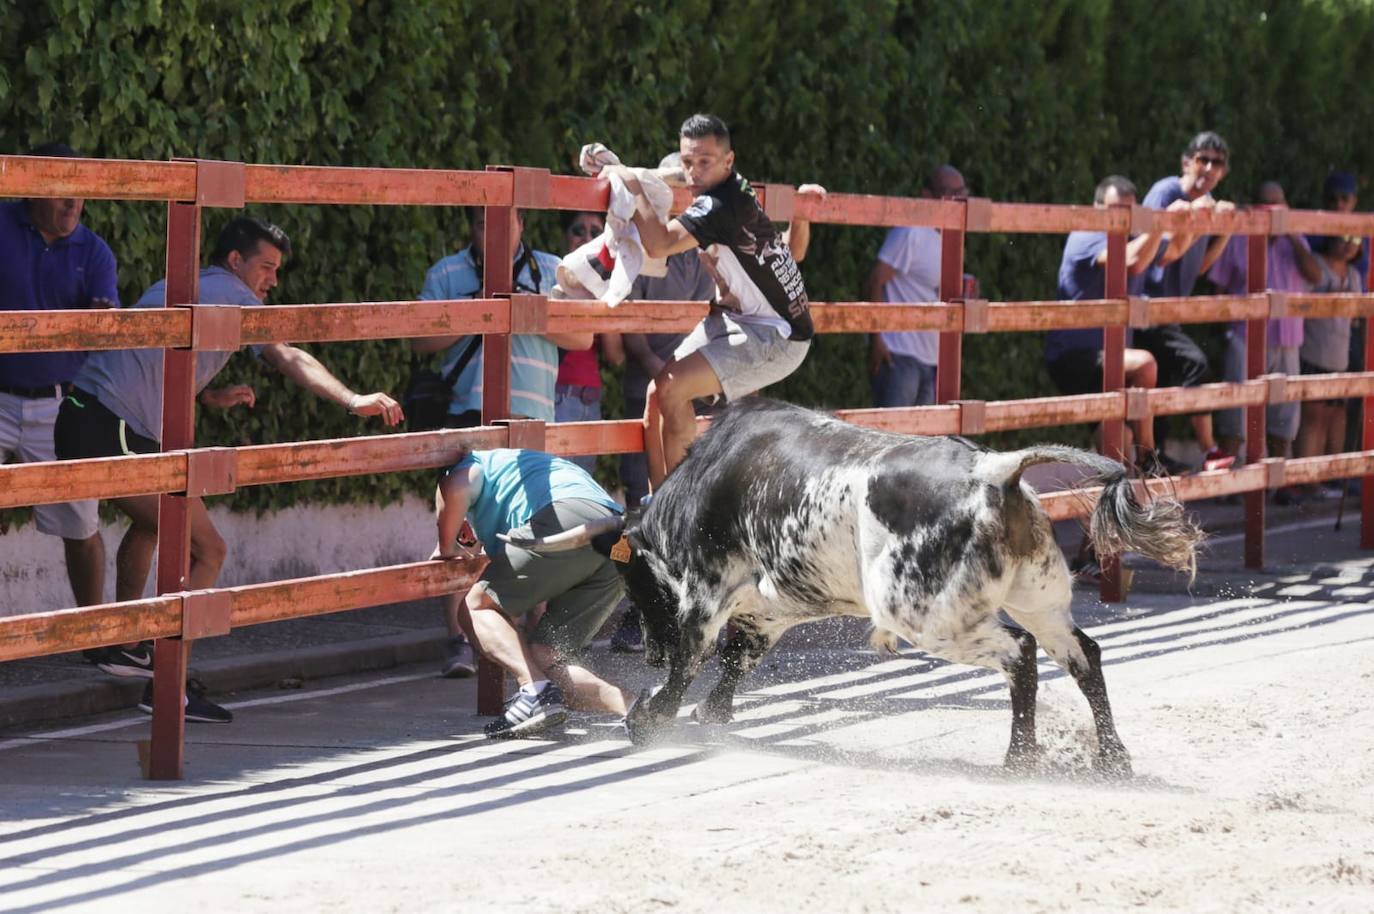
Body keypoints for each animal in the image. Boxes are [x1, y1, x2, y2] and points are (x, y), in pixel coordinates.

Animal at [508, 395, 1203, 775]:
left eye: (629, 578)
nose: (644, 650)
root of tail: (993, 470)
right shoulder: (775, 602)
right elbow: (739, 653)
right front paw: (713, 711)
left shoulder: (705, 589)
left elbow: (691, 657)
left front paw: (651, 718)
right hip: (1040, 599)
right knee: (1083, 654)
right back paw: (1112, 759)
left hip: (927, 615)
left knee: (1021, 655)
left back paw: (1020, 760)